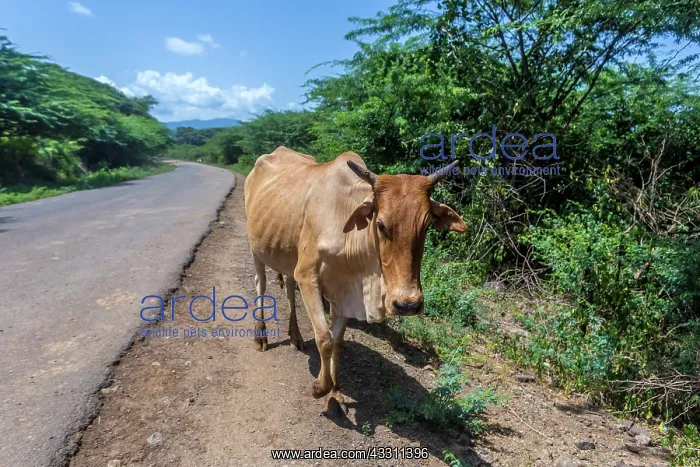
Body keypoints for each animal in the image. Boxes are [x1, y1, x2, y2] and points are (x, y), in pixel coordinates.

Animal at [244, 146, 466, 411]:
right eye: (380, 225)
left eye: (426, 225)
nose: (407, 304)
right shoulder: (307, 276)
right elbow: (324, 338)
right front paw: (320, 388)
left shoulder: (345, 293)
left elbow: (337, 342)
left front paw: (336, 392)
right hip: (256, 248)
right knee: (260, 284)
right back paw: (260, 336)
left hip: (285, 253)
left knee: (288, 286)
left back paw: (295, 335)